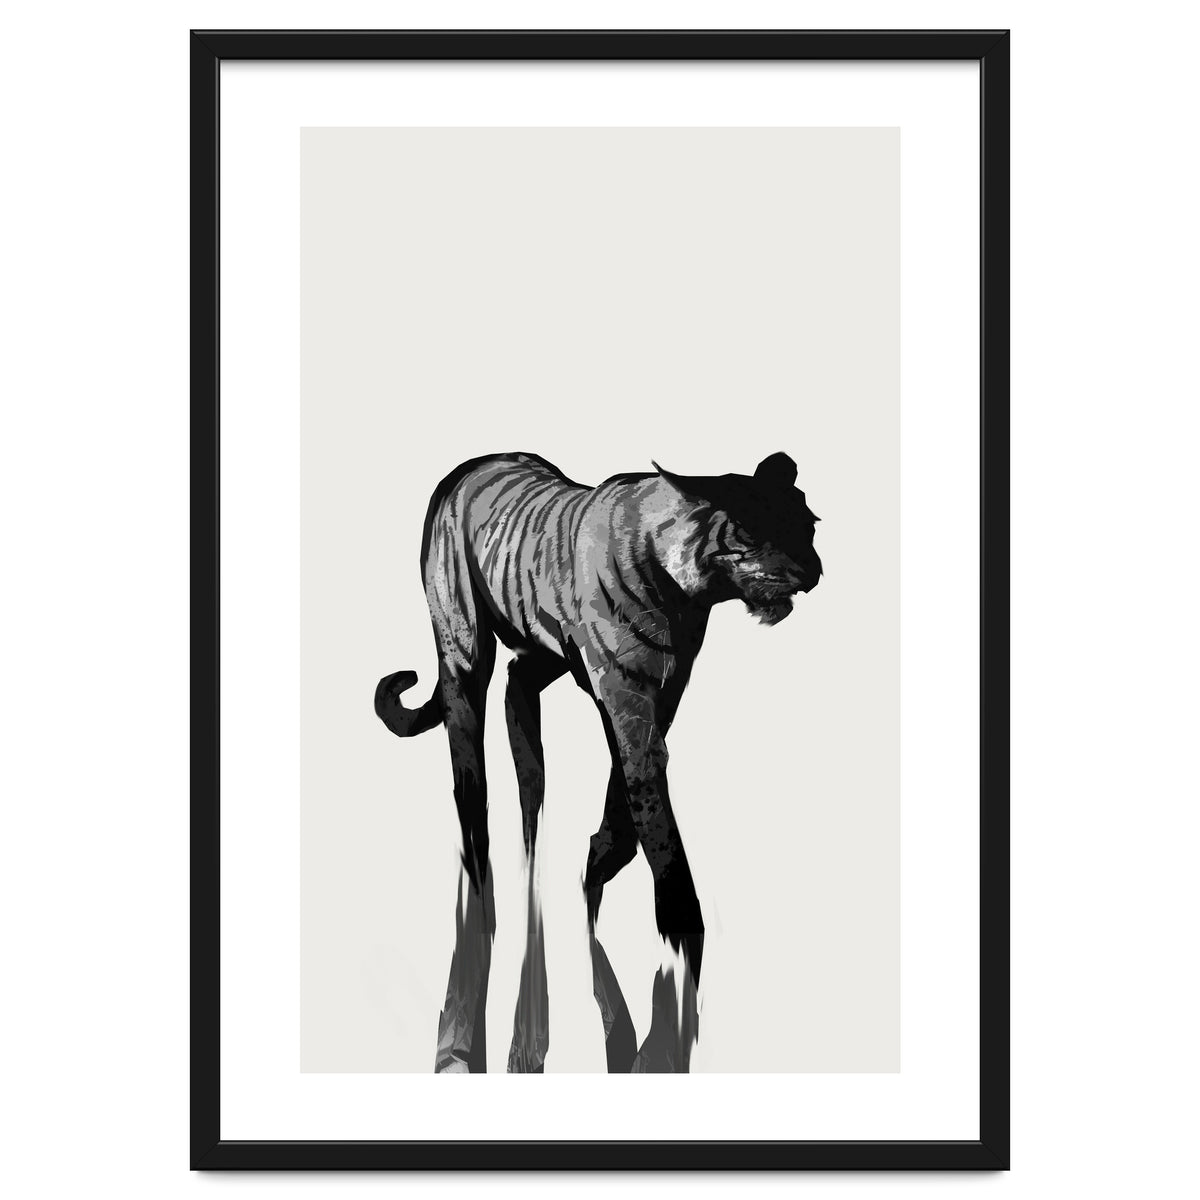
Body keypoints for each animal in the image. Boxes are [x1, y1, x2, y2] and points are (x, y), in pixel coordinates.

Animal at [375, 451, 822, 1072]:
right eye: (754, 529)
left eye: (807, 524)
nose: (815, 571)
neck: (686, 593)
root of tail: (471, 465)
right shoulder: (626, 694)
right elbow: (649, 802)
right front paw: (680, 931)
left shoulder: (665, 689)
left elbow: (624, 793)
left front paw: (598, 863)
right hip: (463, 650)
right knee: (470, 768)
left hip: (539, 654)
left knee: (519, 708)